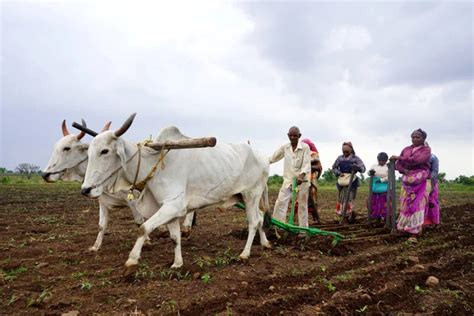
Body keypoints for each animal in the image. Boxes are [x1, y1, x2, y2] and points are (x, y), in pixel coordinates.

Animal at [42, 119, 194, 251]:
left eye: (66, 148)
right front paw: (96, 246)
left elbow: (139, 221)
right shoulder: (102, 202)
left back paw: (186, 228)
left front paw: (147, 241)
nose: (45, 174)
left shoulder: (132, 200)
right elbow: (101, 225)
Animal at [82, 114, 270, 272]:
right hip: (244, 197)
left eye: (104, 151)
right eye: (88, 152)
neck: (154, 165)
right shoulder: (168, 209)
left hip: (251, 194)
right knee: (261, 217)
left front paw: (132, 259)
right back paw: (265, 243)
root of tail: (263, 157)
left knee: (254, 221)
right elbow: (174, 237)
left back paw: (245, 254)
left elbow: (143, 228)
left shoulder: (173, 205)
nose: (85, 189)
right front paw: (177, 263)